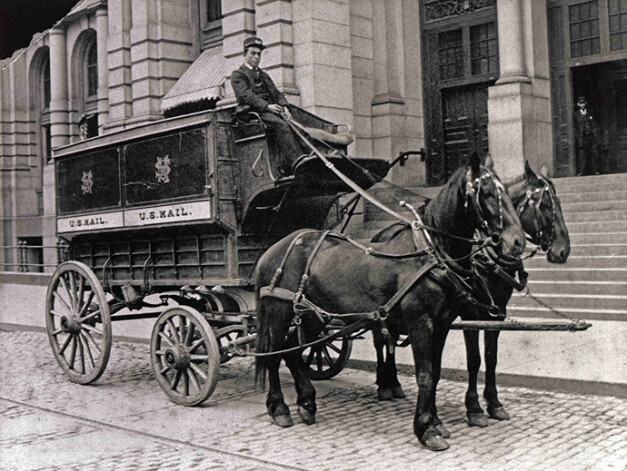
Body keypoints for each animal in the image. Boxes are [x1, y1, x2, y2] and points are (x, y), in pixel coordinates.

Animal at [254, 153, 524, 452]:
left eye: (506, 191)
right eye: (484, 191)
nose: (517, 242)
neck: (430, 254)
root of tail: (274, 249)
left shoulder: (442, 324)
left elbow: (436, 372)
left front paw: (435, 421)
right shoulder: (421, 323)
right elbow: (425, 374)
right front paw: (426, 429)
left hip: (315, 316)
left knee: (292, 350)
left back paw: (307, 402)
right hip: (279, 311)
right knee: (274, 353)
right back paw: (279, 408)